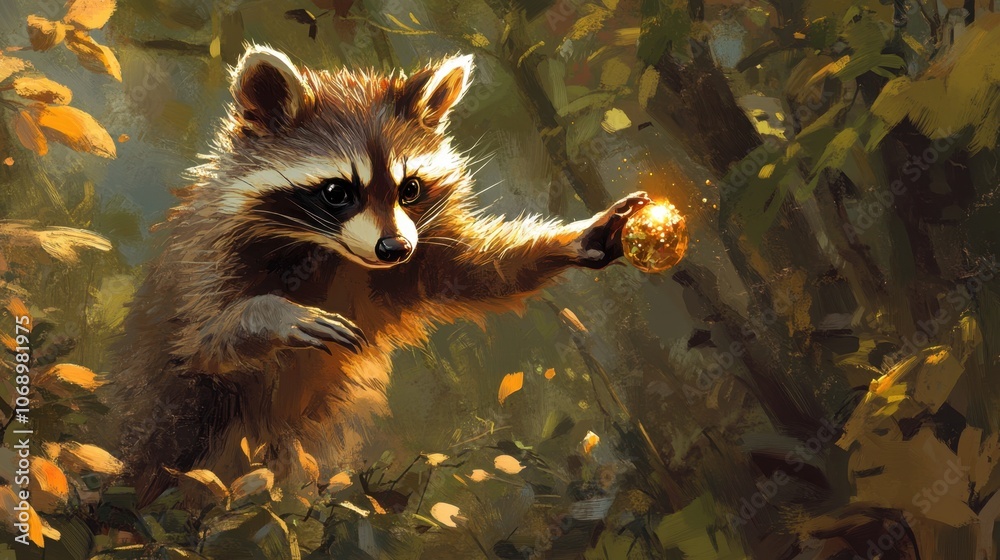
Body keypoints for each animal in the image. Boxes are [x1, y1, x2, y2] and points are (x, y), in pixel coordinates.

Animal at [113, 45, 649, 505]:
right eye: (336, 192)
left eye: (409, 188)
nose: (395, 248)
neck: (331, 254)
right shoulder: (209, 259)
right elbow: (200, 342)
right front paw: (273, 315)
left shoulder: (418, 258)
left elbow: (479, 272)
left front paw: (573, 238)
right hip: (171, 426)